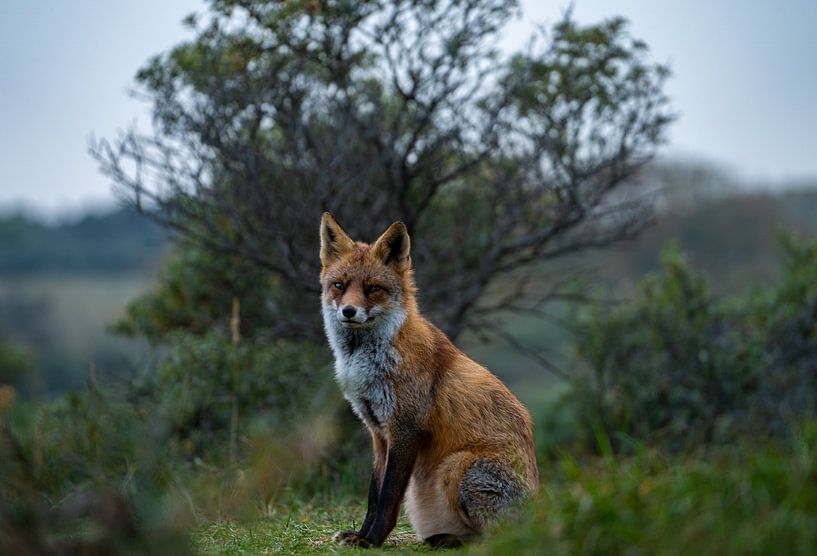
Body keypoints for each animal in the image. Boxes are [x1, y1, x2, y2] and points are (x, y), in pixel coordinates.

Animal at [320, 213, 540, 548]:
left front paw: (372, 540)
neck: (367, 362)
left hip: (458, 465)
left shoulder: (406, 428)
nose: (348, 311)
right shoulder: (378, 432)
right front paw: (360, 535)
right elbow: (373, 495)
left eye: (373, 288)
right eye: (339, 285)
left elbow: (387, 499)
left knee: (502, 537)